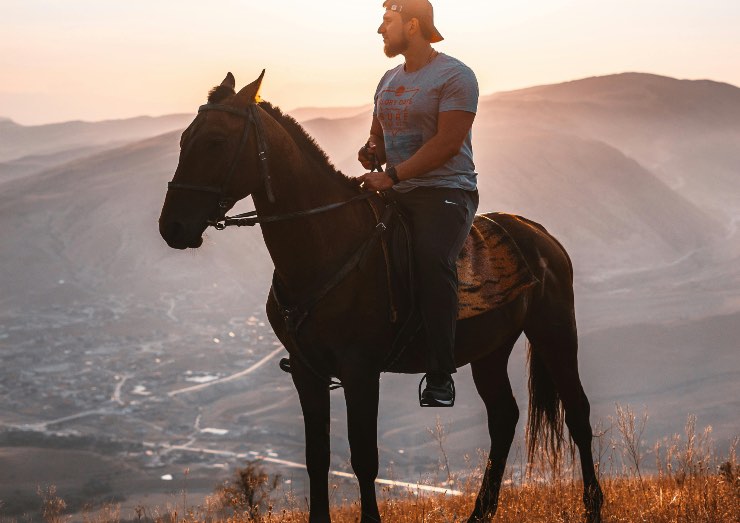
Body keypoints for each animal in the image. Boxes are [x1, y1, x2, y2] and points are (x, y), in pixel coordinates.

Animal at [159, 71, 603, 523]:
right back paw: (480, 512)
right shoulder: (306, 371)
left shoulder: (359, 371)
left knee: (577, 414)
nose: (172, 227)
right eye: (184, 139)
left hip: (554, 331)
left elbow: (363, 458)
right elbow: (316, 458)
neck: (327, 244)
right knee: (503, 418)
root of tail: (540, 234)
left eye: (215, 141)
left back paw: (592, 505)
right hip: (490, 350)